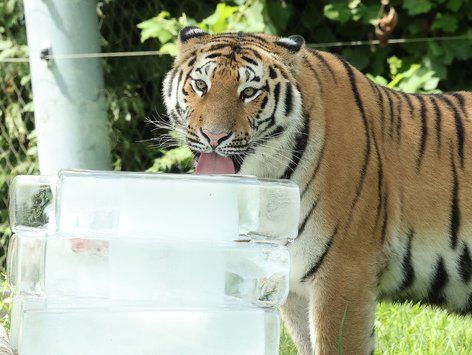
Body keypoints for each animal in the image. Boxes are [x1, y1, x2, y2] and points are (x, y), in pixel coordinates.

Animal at [162, 27, 472, 355]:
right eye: (200, 85)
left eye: (249, 92)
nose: (214, 136)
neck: (268, 183)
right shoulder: (291, 284)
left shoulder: (343, 275)